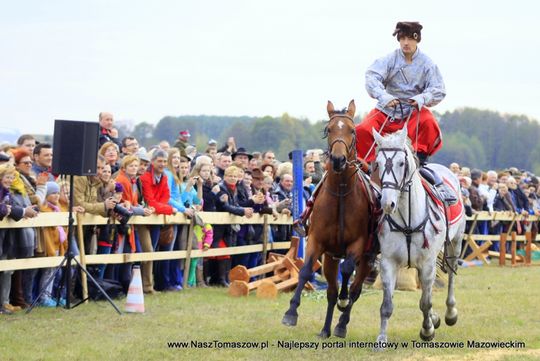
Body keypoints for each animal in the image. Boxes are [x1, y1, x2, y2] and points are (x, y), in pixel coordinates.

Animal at [282, 99, 376, 338]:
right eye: (329, 129)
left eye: (352, 130)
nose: (338, 159)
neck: (341, 194)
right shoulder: (317, 241)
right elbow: (305, 271)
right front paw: (291, 312)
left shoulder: (358, 244)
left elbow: (348, 271)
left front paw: (344, 301)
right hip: (331, 258)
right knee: (332, 291)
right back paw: (325, 329)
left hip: (366, 259)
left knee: (355, 289)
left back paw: (341, 324)